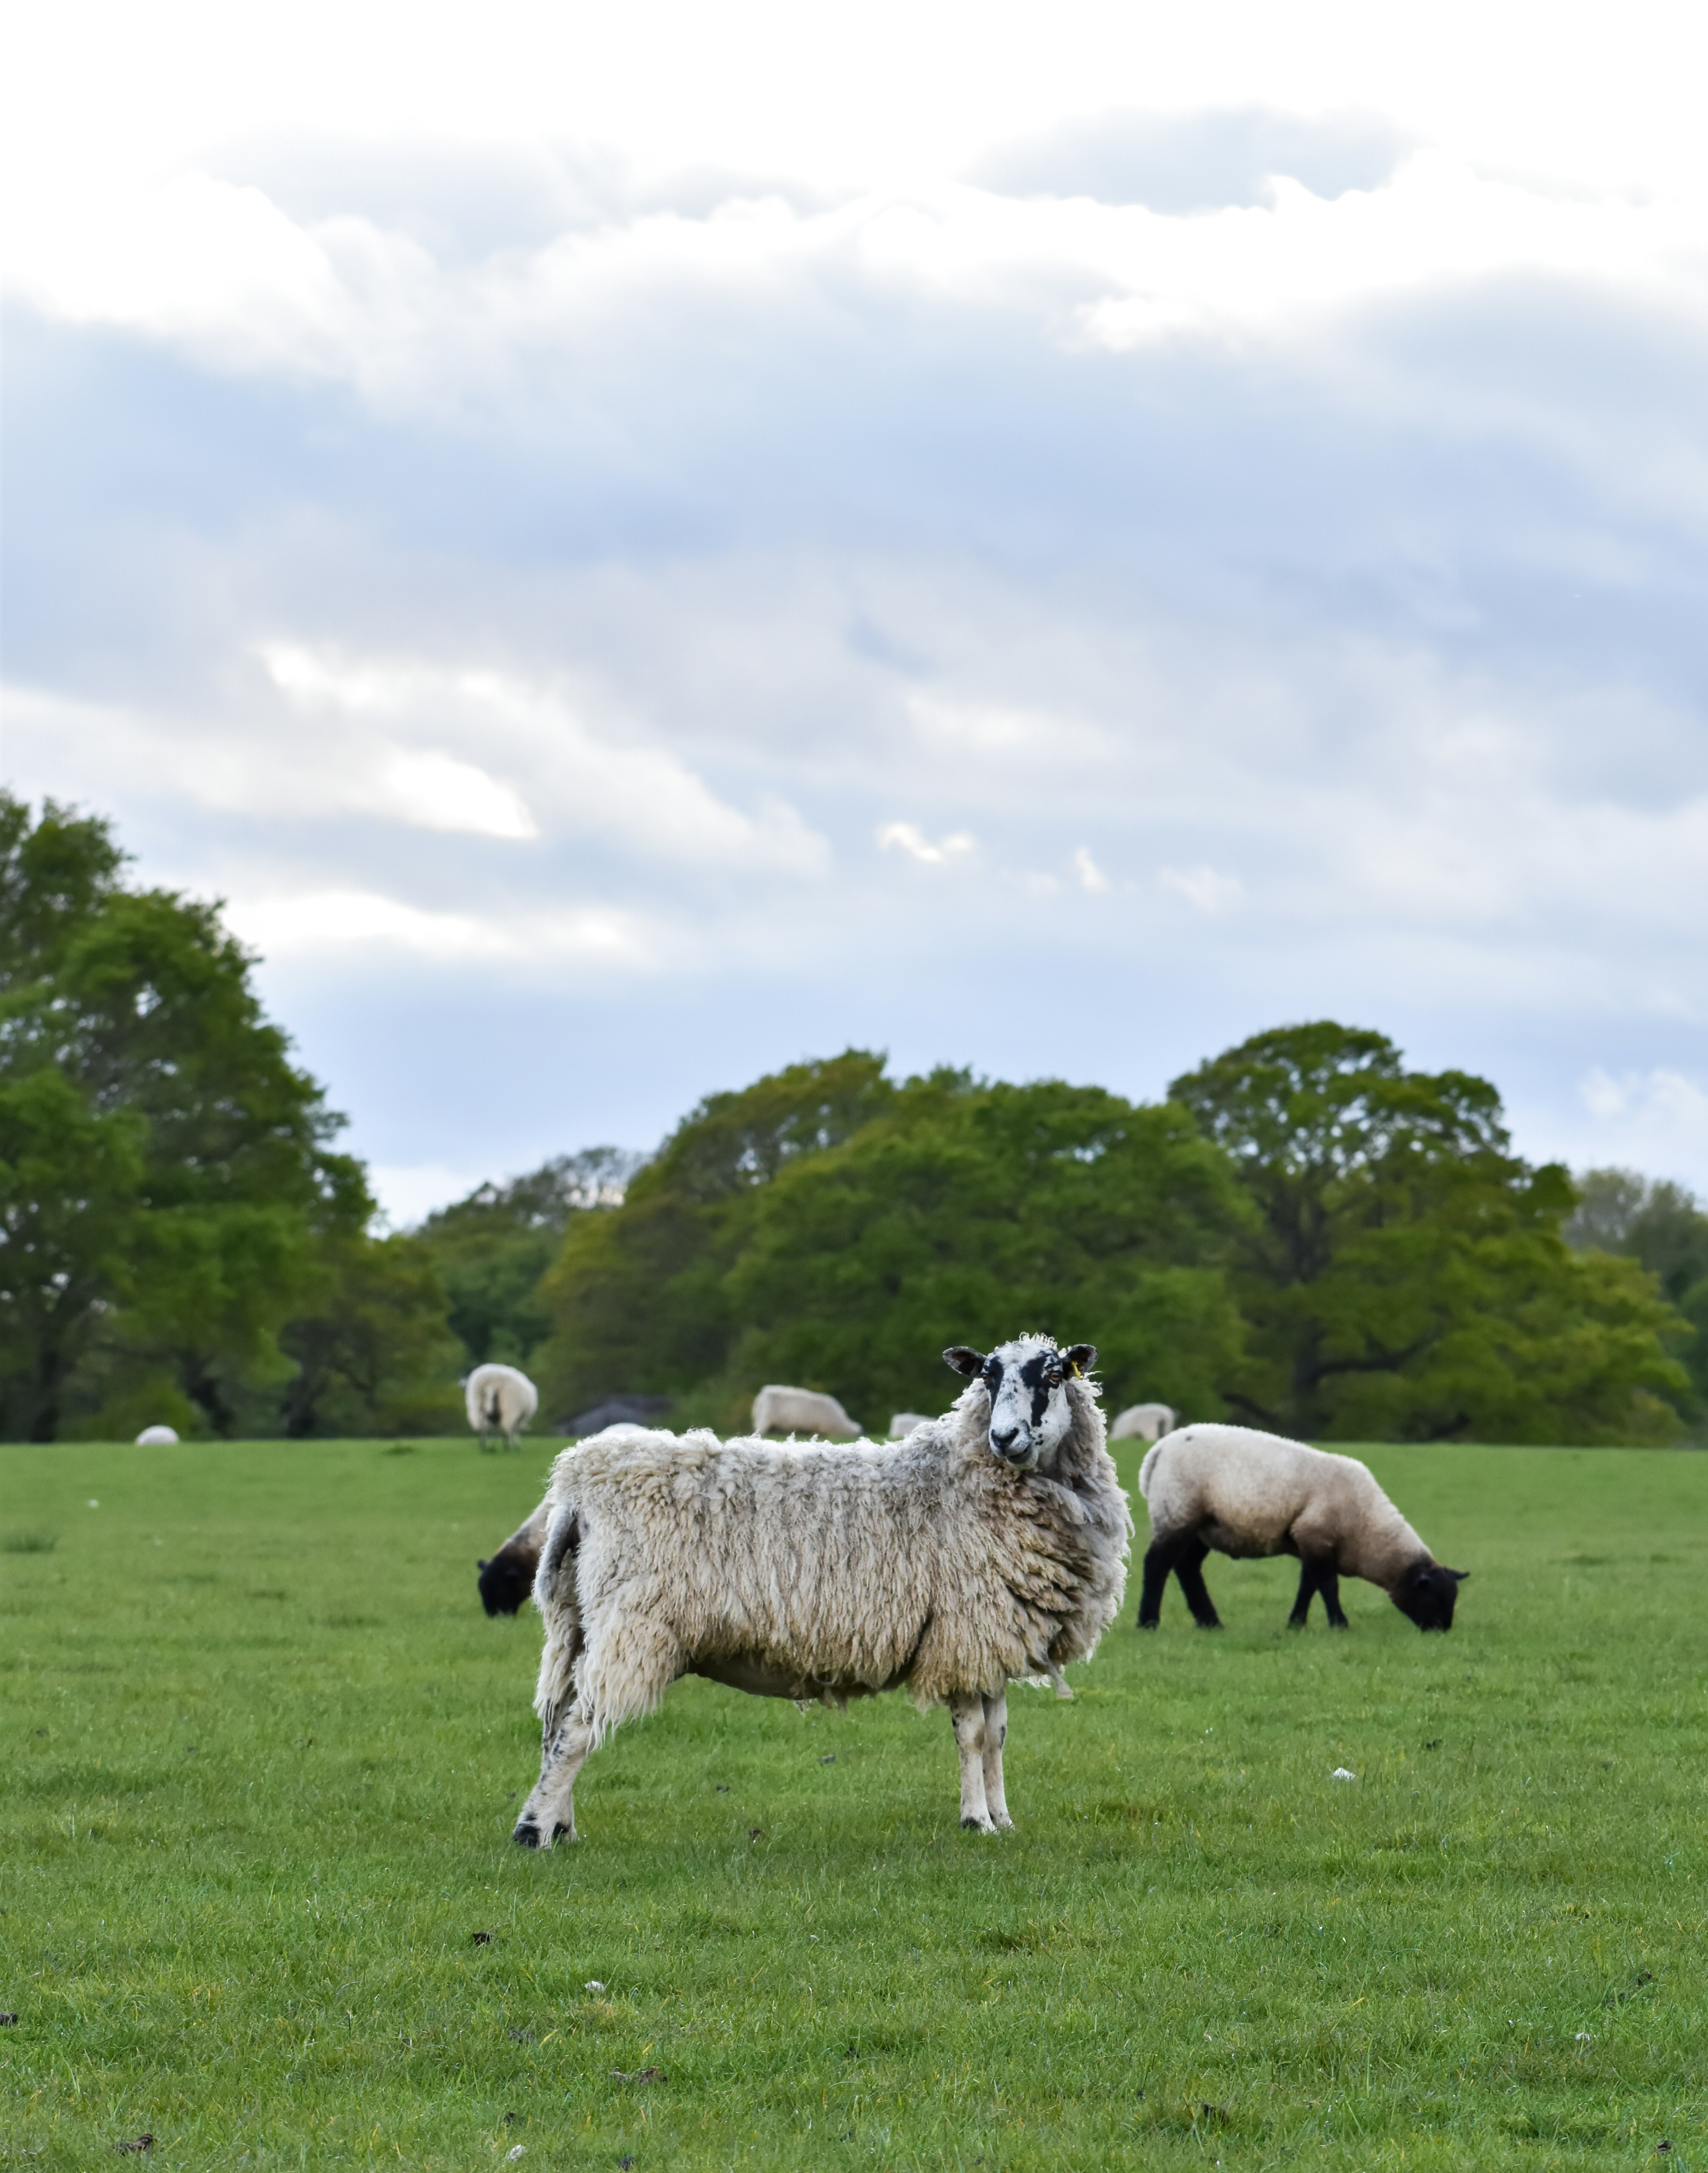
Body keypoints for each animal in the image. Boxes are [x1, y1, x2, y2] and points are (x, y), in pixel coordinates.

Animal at [462, 1364, 536, 1451]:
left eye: (495, 1395)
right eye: (486, 1395)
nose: (489, 1411)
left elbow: (496, 1431)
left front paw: (493, 1445)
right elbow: (496, 1431)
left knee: (501, 1429)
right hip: (509, 1413)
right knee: (505, 1429)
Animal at [1130, 1425, 1460, 1634]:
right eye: (1433, 1598)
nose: (1442, 1631)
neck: (1367, 1528)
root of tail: (1160, 1449)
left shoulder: (1313, 1541)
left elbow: (1308, 1585)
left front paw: (1296, 1624)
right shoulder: (1315, 1535)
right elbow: (1327, 1584)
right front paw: (1340, 1625)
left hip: (1203, 1526)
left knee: (1187, 1567)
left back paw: (1210, 1623)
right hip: (1178, 1511)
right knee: (1157, 1563)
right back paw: (1148, 1623)